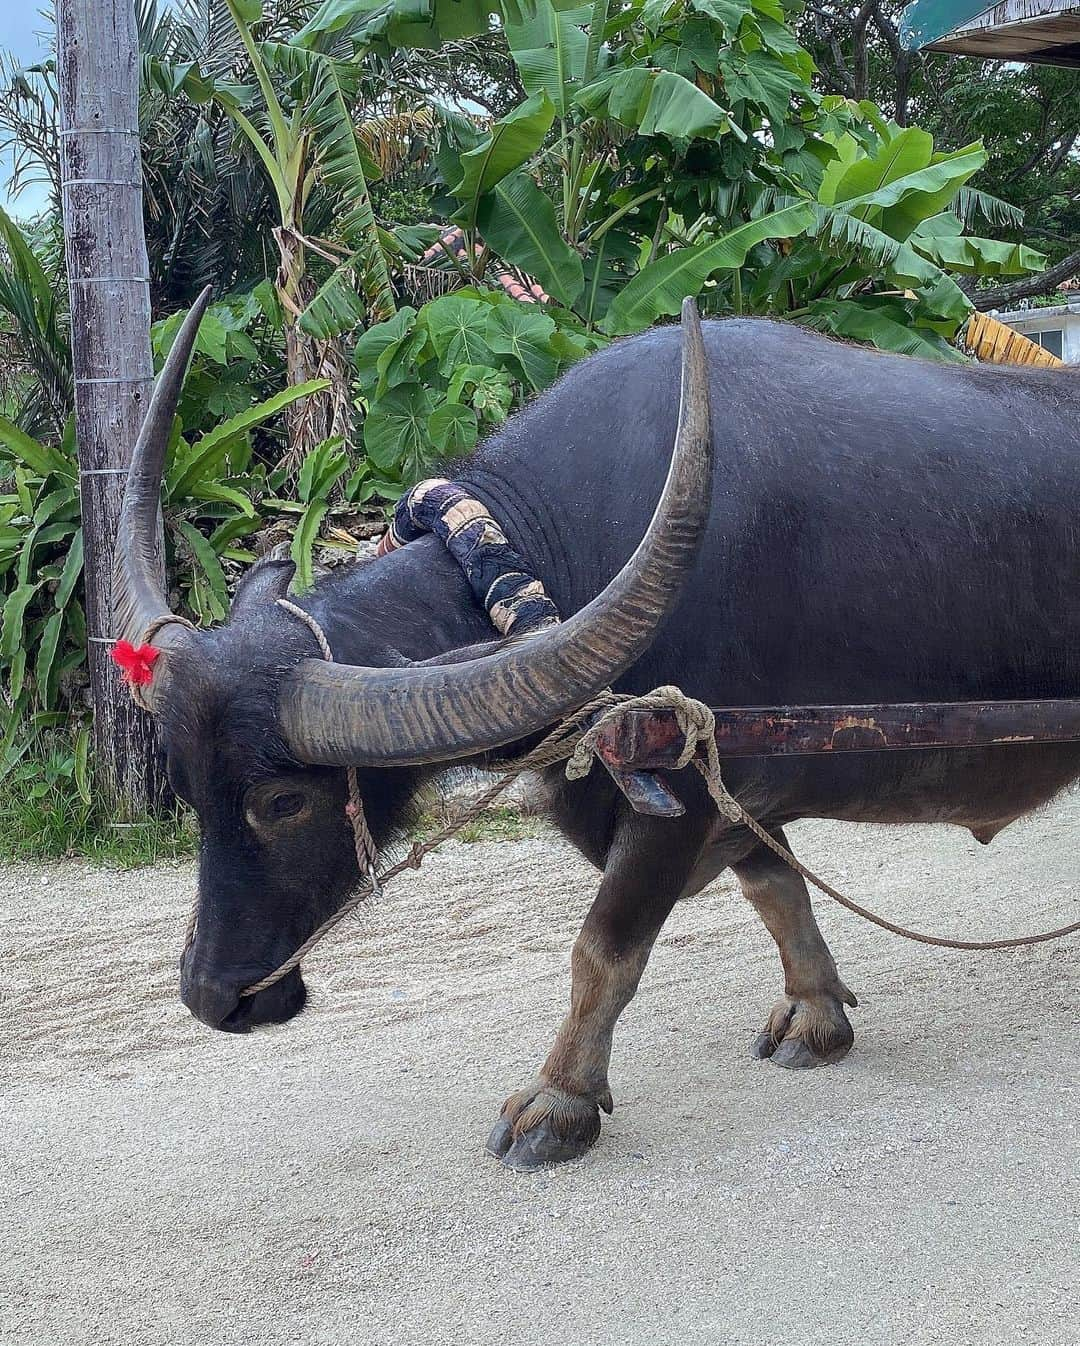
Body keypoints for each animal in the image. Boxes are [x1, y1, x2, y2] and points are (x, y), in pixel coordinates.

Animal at [115, 292, 1077, 1168]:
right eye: (186, 786)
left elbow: (603, 952)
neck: (550, 565)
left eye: (283, 802)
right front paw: (817, 1016)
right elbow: (777, 890)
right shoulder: (733, 788)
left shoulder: (675, 791)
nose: (212, 995)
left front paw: (558, 1102)